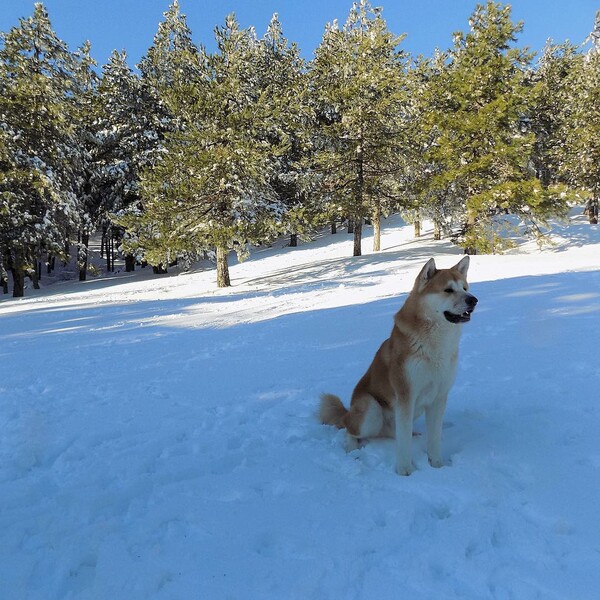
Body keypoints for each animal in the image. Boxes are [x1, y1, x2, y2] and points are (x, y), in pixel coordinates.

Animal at [318, 255, 478, 476]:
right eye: (448, 290)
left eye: (465, 288)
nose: (473, 300)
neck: (435, 345)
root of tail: (347, 411)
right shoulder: (405, 396)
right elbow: (403, 445)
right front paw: (404, 472)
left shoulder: (439, 396)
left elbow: (434, 438)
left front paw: (437, 466)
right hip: (371, 410)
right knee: (351, 429)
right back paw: (351, 449)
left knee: (395, 433)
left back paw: (415, 434)